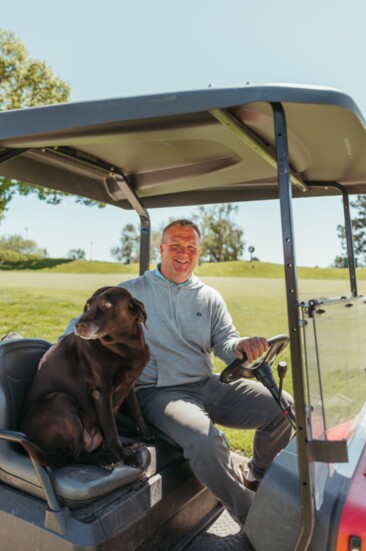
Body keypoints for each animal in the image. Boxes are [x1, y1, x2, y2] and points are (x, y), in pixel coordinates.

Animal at [20, 284, 152, 470]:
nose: (79, 325)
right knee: (76, 454)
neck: (125, 345)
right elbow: (111, 428)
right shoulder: (101, 392)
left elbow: (135, 410)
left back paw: (125, 445)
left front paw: (146, 433)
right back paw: (105, 458)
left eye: (107, 304)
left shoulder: (130, 384)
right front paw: (125, 456)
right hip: (60, 400)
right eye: (88, 305)